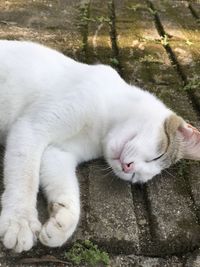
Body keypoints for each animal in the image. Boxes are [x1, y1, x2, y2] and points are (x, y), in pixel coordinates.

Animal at [0, 40, 198, 253]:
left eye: (136, 178)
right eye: (158, 155)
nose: (129, 169)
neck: (102, 128)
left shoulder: (59, 152)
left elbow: (66, 187)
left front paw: (63, 222)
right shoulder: (32, 127)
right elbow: (25, 177)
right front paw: (20, 220)